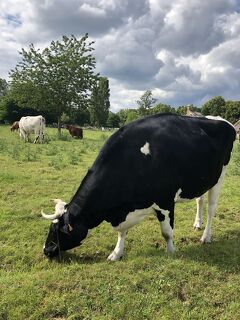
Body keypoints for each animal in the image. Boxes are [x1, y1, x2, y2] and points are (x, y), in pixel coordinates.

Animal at [41, 114, 236, 262]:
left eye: (59, 231)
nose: (46, 250)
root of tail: (224, 122)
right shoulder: (125, 209)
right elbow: (122, 232)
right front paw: (117, 253)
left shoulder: (165, 201)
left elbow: (167, 233)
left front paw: (171, 252)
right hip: (201, 180)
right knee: (199, 200)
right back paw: (197, 223)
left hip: (220, 177)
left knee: (211, 209)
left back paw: (206, 237)